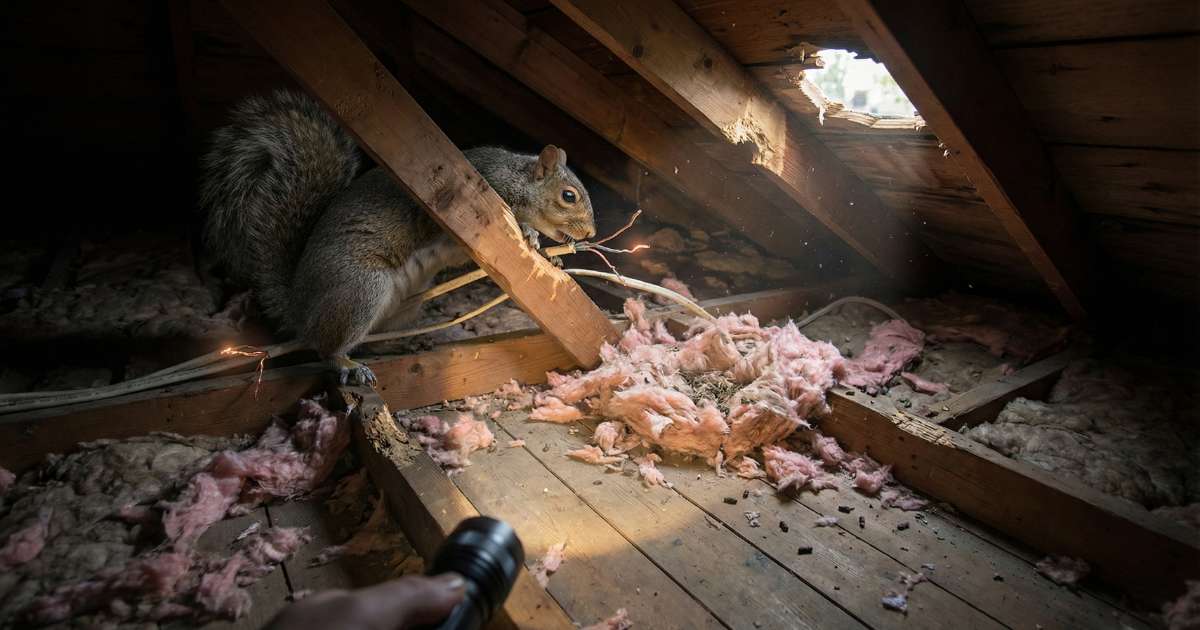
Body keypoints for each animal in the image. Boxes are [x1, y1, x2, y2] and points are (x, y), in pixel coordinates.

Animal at [199, 90, 596, 385]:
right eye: (569, 196)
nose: (591, 233)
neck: (517, 179)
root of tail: (299, 306)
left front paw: (553, 254)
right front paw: (530, 232)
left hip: (405, 306)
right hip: (359, 288)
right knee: (325, 346)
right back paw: (347, 364)